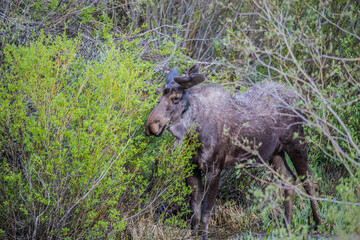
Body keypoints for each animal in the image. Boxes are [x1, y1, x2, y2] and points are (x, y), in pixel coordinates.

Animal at [145, 64, 322, 239]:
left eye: (176, 98)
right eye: (159, 96)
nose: (151, 126)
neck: (193, 132)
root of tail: (296, 96)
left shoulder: (214, 168)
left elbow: (206, 212)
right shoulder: (191, 168)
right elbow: (194, 211)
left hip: (296, 143)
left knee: (308, 178)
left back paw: (318, 223)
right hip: (275, 153)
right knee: (289, 179)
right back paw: (286, 227)